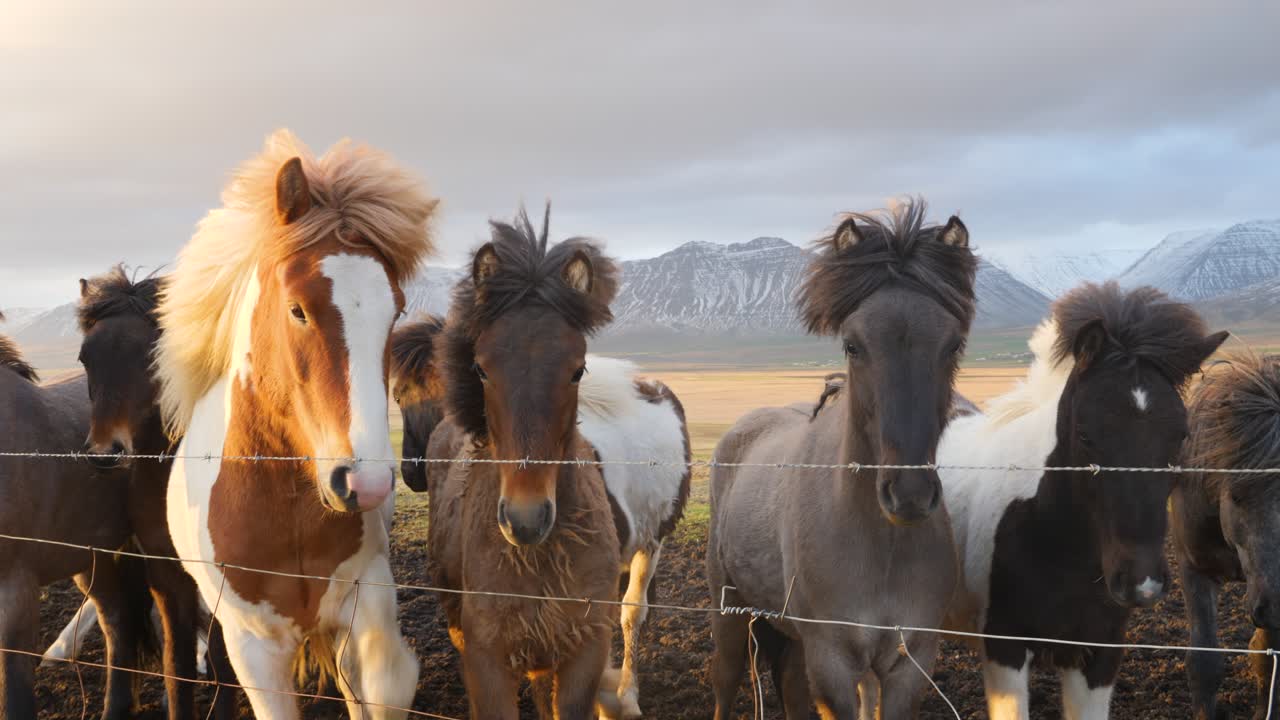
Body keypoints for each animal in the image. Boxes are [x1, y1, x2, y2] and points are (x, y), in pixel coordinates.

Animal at [154, 130, 437, 719]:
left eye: (396, 310)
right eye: (297, 310)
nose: (364, 484)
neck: (286, 510)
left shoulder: (367, 607)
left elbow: (379, 692)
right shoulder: (254, 648)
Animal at [708, 199, 977, 719]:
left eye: (953, 344)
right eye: (853, 346)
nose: (909, 496)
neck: (882, 545)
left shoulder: (909, 663)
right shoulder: (830, 661)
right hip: (728, 609)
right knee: (726, 679)